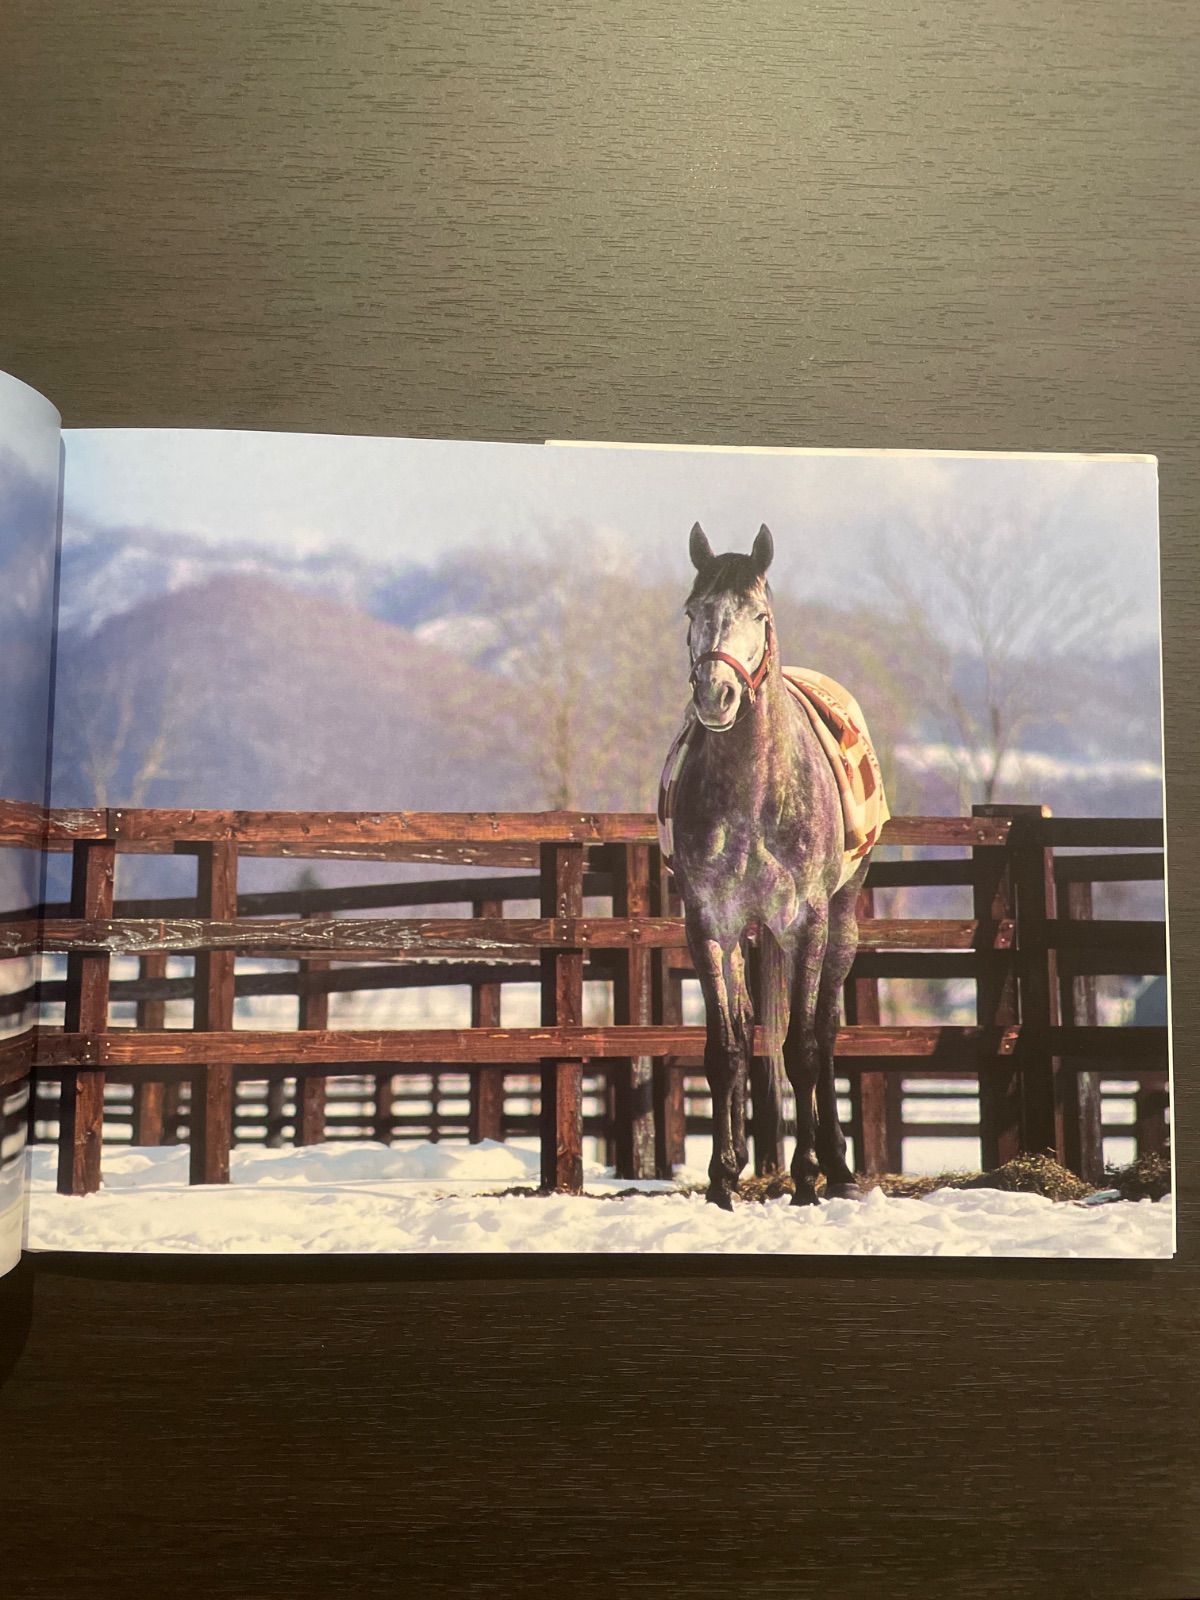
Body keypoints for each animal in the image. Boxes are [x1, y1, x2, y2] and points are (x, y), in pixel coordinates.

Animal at [661, 521, 883, 1209]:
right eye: (692, 611)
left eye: (759, 614)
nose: (717, 695)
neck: (755, 792)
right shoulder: (709, 924)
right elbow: (727, 1048)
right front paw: (721, 1178)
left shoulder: (804, 922)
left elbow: (803, 1047)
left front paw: (807, 1178)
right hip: (749, 936)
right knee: (750, 1028)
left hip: (840, 918)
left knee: (826, 1032)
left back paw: (834, 1166)